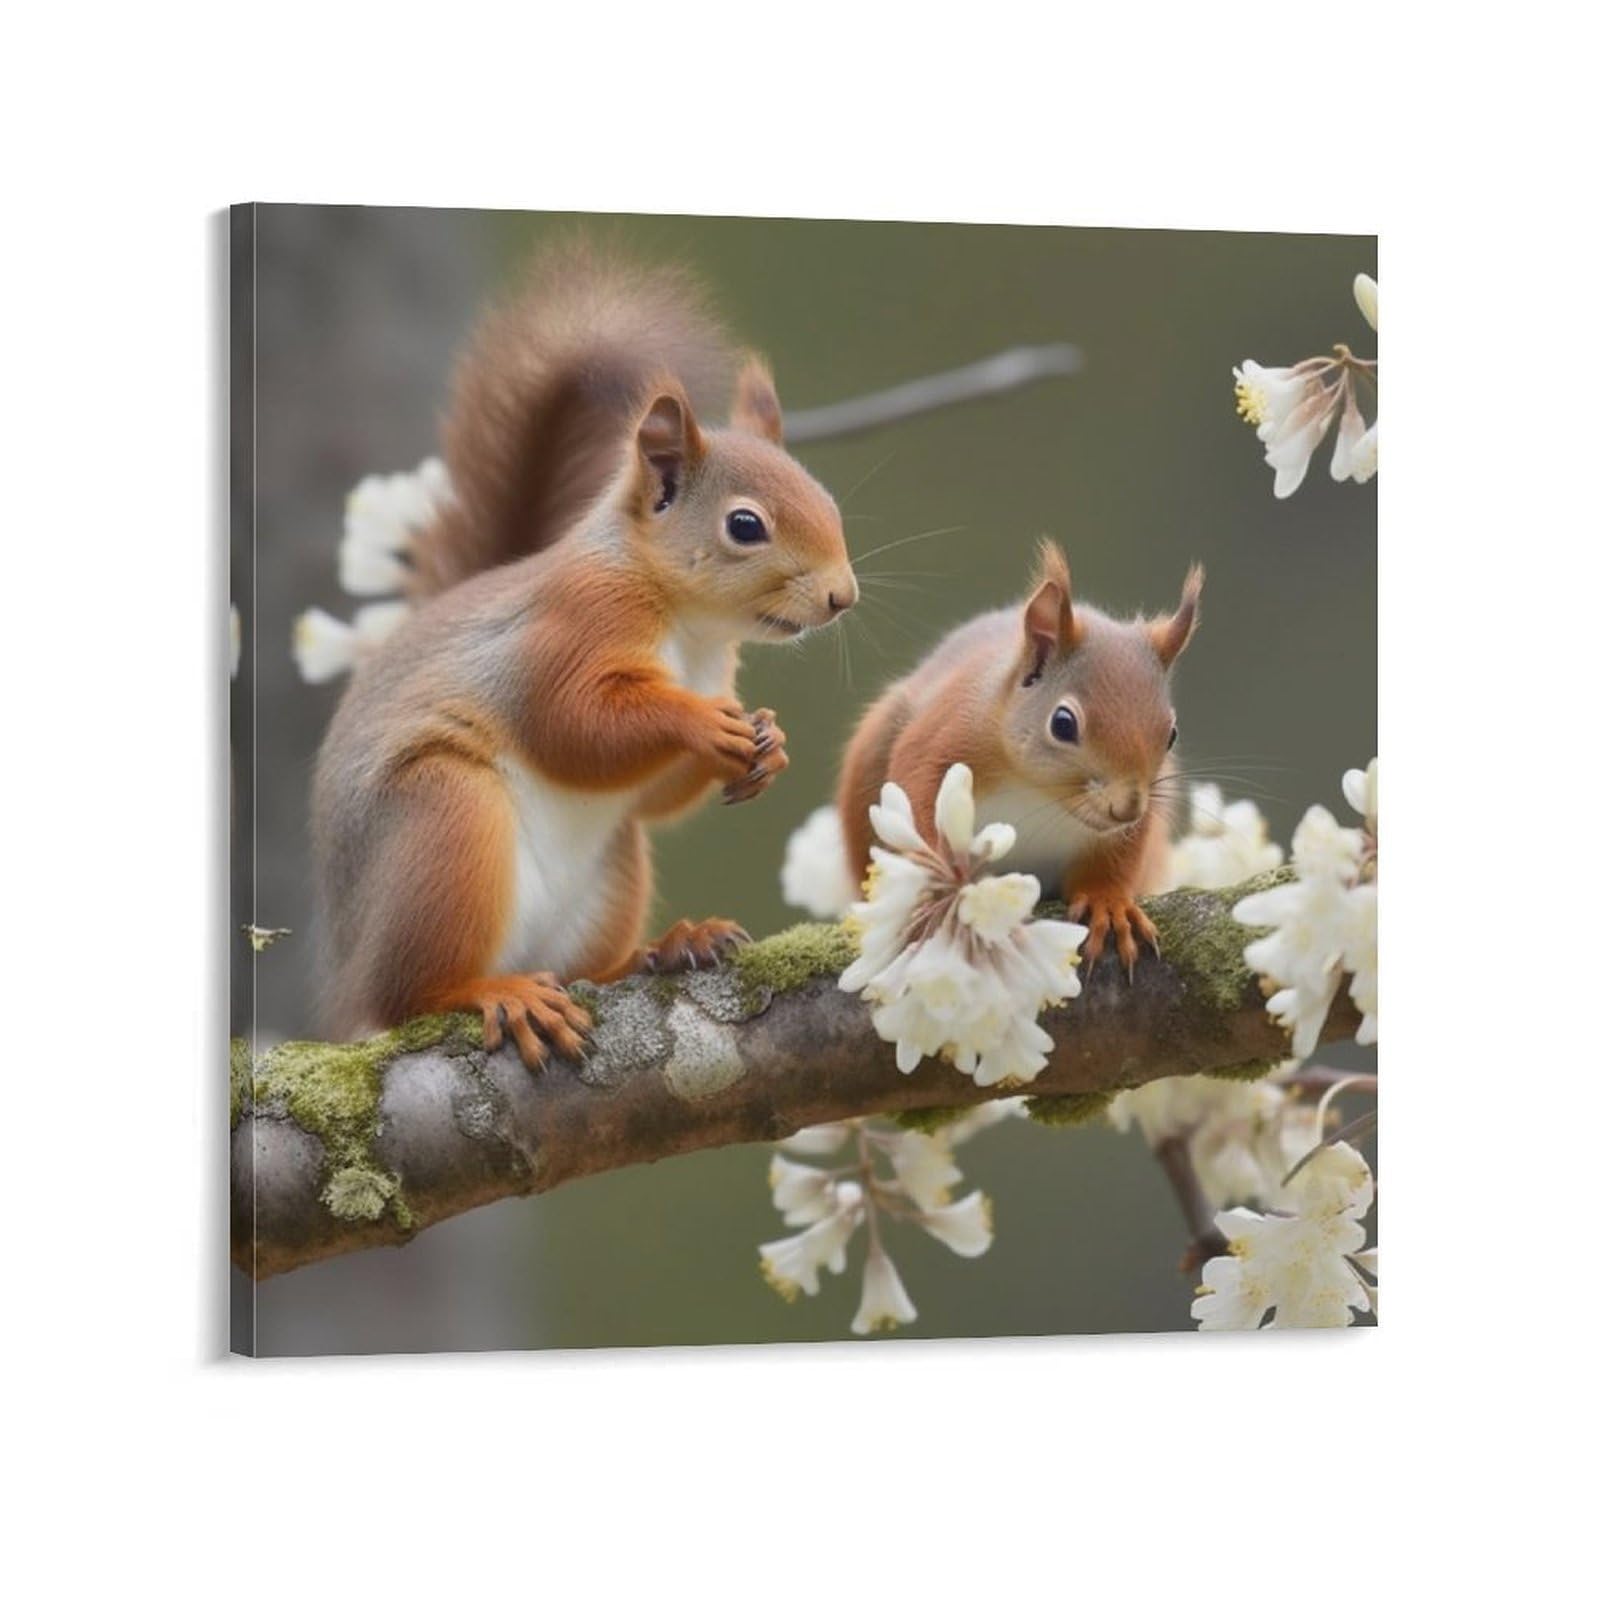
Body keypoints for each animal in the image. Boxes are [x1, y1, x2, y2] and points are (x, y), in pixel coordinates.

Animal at [312, 246, 856, 1067]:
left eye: (829, 502)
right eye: (745, 525)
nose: (842, 596)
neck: (690, 629)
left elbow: (654, 795)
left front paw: (768, 740)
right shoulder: (572, 626)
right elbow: (569, 726)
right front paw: (702, 723)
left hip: (611, 874)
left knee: (585, 962)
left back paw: (665, 948)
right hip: (444, 820)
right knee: (412, 994)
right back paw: (492, 992)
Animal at [836, 541, 1202, 973]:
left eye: (1171, 734)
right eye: (1063, 724)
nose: (1126, 808)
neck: (1036, 791)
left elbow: (1117, 859)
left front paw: (1107, 903)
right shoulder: (946, 733)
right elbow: (916, 789)